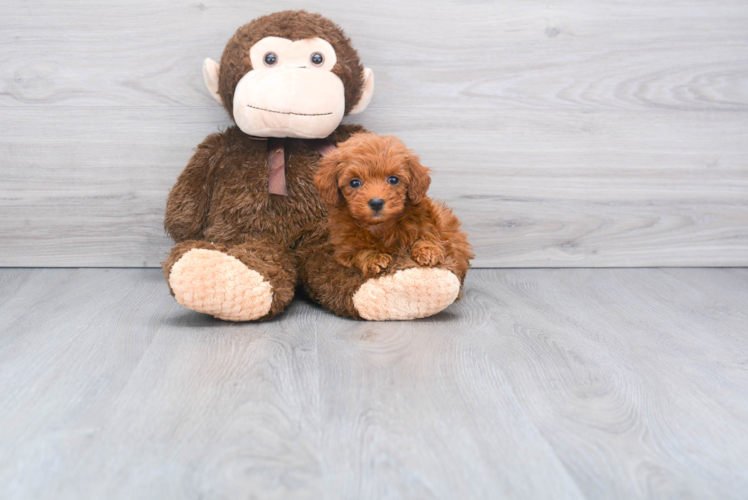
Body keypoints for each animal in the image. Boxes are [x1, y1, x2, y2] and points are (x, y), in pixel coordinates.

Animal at [316, 133, 474, 280]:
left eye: (393, 179)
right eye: (354, 183)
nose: (376, 202)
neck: (380, 225)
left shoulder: (427, 221)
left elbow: (427, 234)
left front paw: (429, 251)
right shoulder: (344, 248)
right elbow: (359, 252)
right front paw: (374, 259)